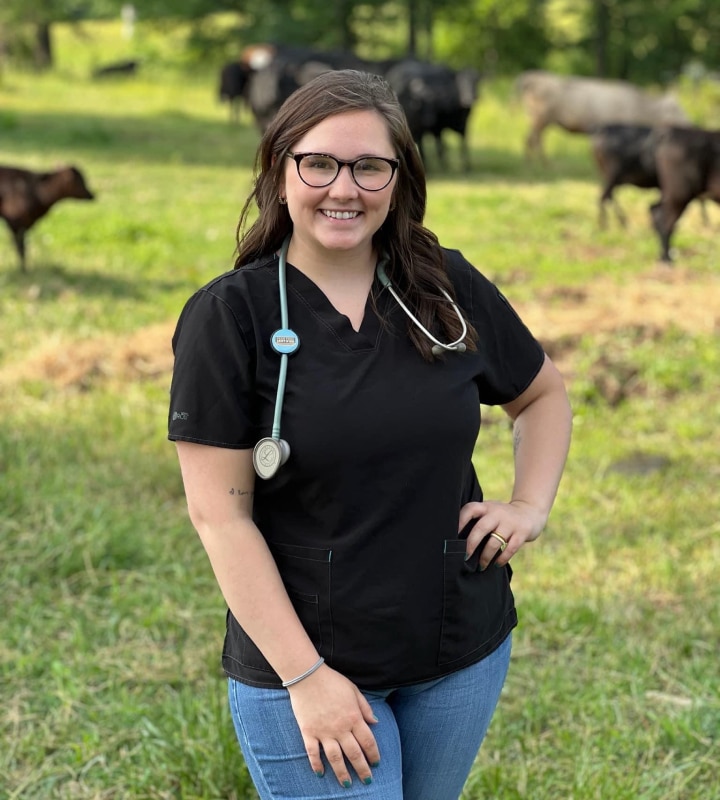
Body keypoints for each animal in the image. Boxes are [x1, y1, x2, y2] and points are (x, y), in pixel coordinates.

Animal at [516, 72, 688, 164]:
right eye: (675, 109)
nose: (688, 123)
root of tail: (532, 77)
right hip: (540, 118)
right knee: (532, 139)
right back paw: (538, 165)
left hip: (539, 119)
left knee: (533, 139)